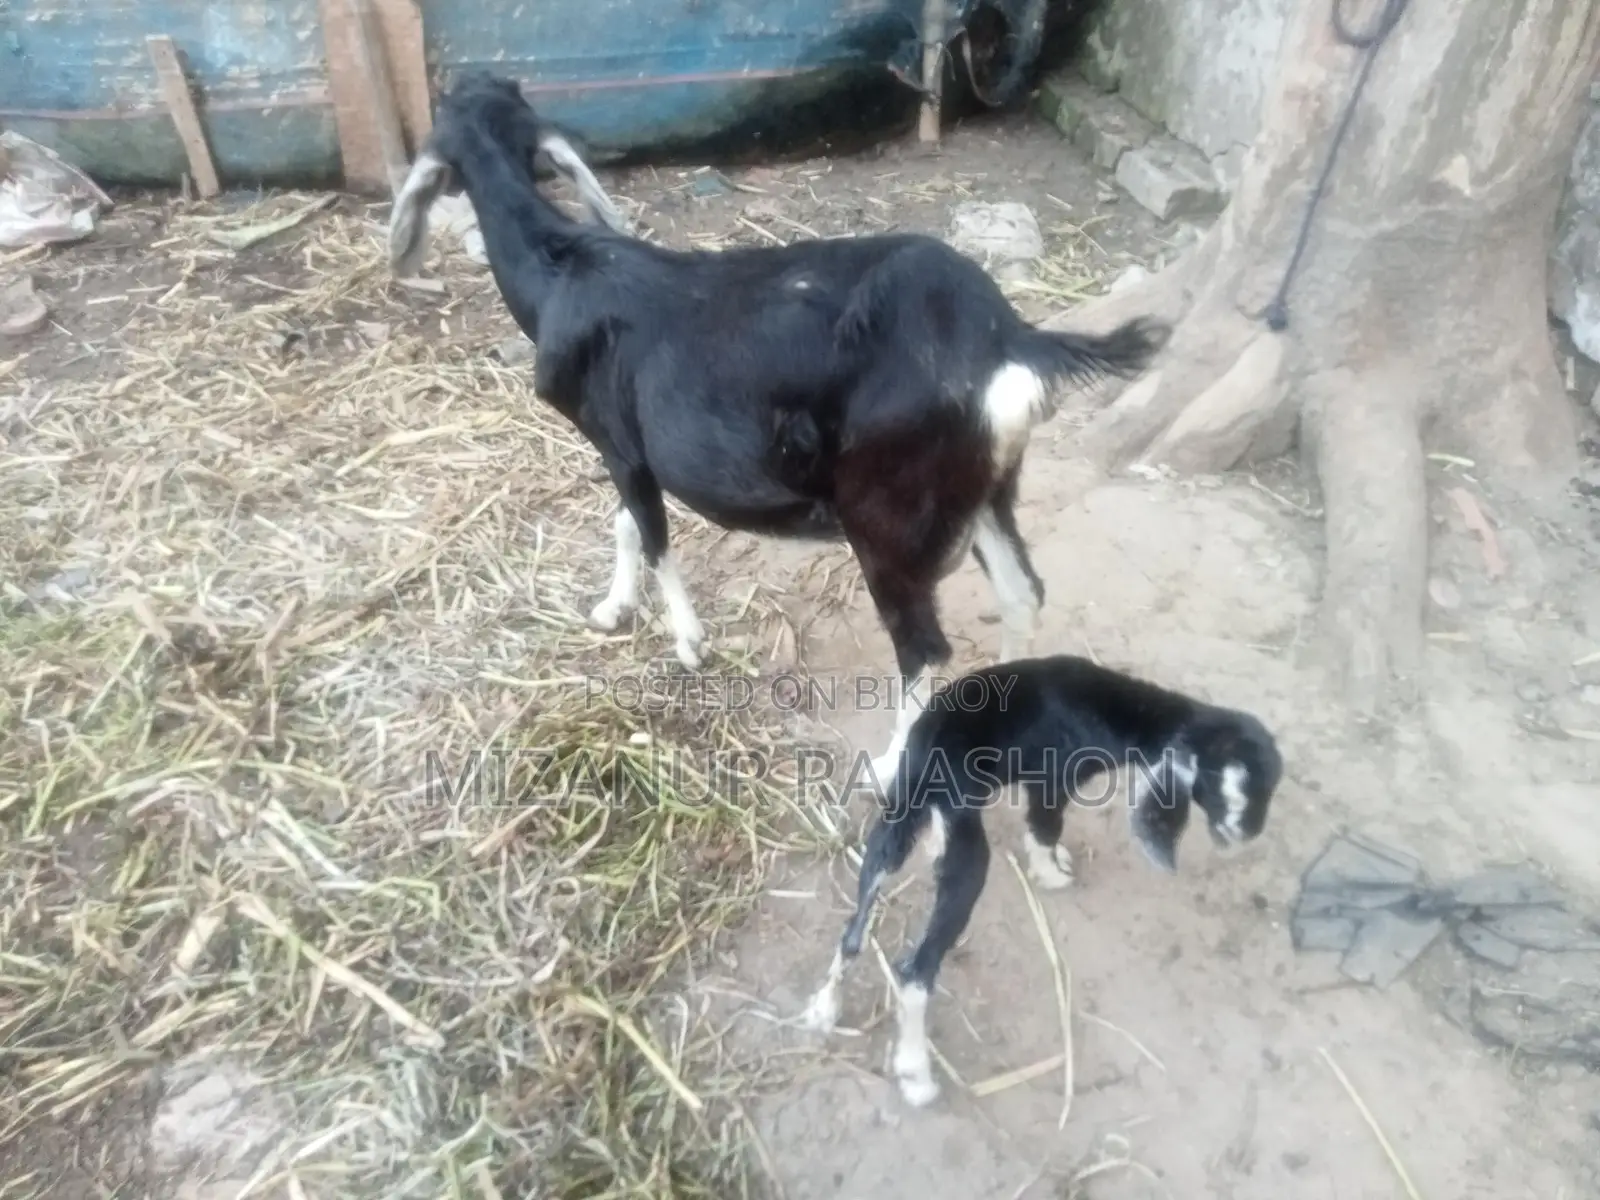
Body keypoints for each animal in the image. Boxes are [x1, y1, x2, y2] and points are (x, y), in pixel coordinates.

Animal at [387, 73, 1169, 780]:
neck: (563, 271)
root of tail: (1005, 342)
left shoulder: (621, 444)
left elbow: (651, 535)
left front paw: (688, 645)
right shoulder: (628, 452)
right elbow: (625, 526)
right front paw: (611, 610)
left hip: (888, 510)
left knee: (924, 646)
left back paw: (889, 766)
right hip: (985, 487)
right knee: (1021, 593)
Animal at [801, 654, 1282, 1107]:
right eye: (1232, 786)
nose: (1249, 834)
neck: (1125, 715)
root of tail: (923, 767)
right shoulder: (1054, 779)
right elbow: (1045, 828)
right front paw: (1053, 873)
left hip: (891, 832)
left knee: (854, 930)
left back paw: (824, 1010)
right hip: (965, 852)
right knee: (915, 970)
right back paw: (915, 1074)